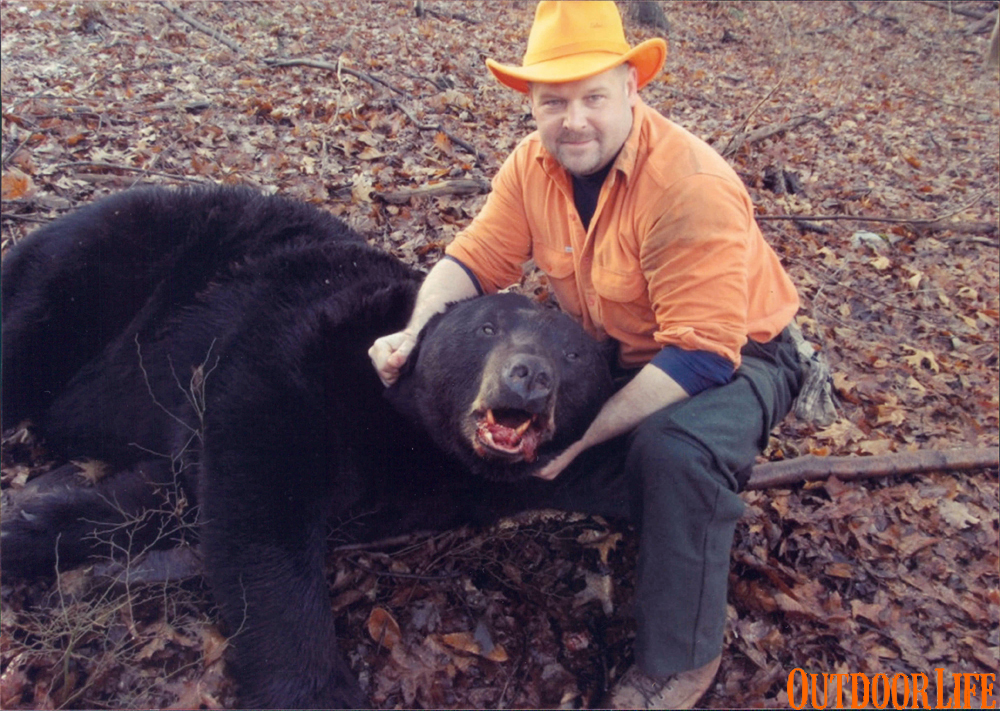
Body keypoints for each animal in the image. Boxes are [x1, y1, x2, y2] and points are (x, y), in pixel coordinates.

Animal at [0, 186, 614, 709]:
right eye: (487, 328)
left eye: (574, 356)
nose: (529, 375)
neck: (407, 430)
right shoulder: (299, 352)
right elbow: (259, 496)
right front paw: (317, 690)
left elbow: (157, 497)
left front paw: (28, 523)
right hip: (112, 258)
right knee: (32, 331)